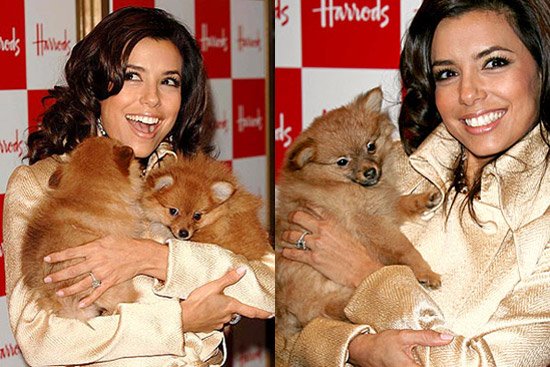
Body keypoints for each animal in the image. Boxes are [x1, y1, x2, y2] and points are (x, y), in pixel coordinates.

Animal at [278, 87, 442, 344]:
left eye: (371, 146)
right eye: (342, 162)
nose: (370, 172)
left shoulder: (383, 208)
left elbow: (401, 202)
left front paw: (424, 199)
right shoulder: (372, 223)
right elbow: (405, 249)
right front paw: (425, 272)